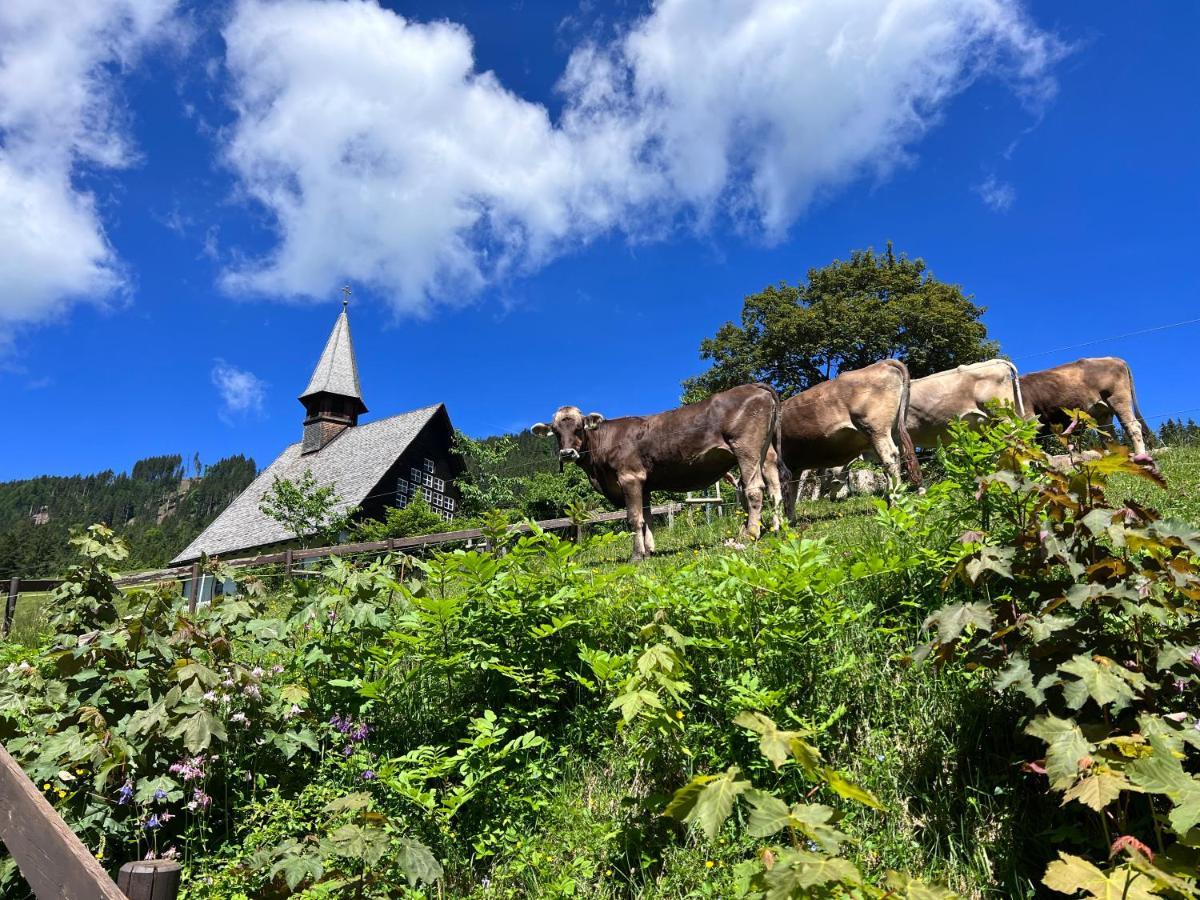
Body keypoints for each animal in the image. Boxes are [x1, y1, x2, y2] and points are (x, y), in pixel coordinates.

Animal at [532, 384, 777, 561]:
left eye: (579, 427)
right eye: (556, 431)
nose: (567, 453)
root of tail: (753, 386)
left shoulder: (630, 477)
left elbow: (634, 519)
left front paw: (637, 555)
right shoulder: (645, 485)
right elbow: (647, 518)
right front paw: (649, 550)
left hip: (746, 447)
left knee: (754, 489)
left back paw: (749, 534)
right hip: (766, 453)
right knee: (774, 488)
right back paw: (776, 527)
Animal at [1017, 355, 1147, 458]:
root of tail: (1116, 359)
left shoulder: (1029, 417)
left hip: (1118, 399)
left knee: (1133, 426)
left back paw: (1140, 456)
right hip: (1103, 412)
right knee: (1108, 437)